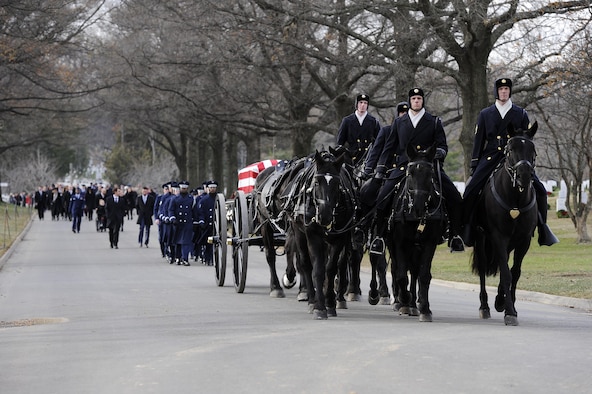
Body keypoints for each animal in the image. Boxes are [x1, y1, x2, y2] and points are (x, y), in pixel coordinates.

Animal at [386, 143, 446, 322]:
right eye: (410, 172)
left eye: (431, 173)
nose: (418, 207)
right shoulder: (400, 243)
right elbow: (401, 275)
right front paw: (404, 299)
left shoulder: (429, 243)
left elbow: (424, 275)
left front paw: (424, 308)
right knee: (399, 269)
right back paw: (404, 302)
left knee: (414, 271)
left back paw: (414, 304)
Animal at [474, 123, 540, 326]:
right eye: (511, 149)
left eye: (532, 150)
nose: (524, 175)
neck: (515, 199)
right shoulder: (498, 237)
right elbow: (505, 272)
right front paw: (509, 311)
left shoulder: (524, 240)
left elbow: (514, 272)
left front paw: (506, 303)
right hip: (482, 239)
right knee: (482, 268)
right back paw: (484, 306)